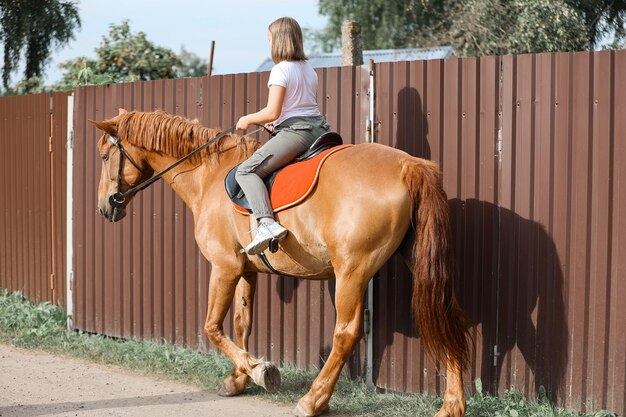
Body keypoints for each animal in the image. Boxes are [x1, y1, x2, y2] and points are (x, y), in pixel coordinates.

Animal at [89, 108, 468, 416]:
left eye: (105, 156)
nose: (105, 207)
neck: (209, 175)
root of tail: (409, 165)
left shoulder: (224, 267)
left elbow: (212, 327)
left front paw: (260, 371)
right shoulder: (246, 271)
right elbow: (241, 323)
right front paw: (239, 378)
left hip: (352, 271)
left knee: (346, 333)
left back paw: (313, 401)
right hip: (414, 261)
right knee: (447, 319)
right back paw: (452, 405)